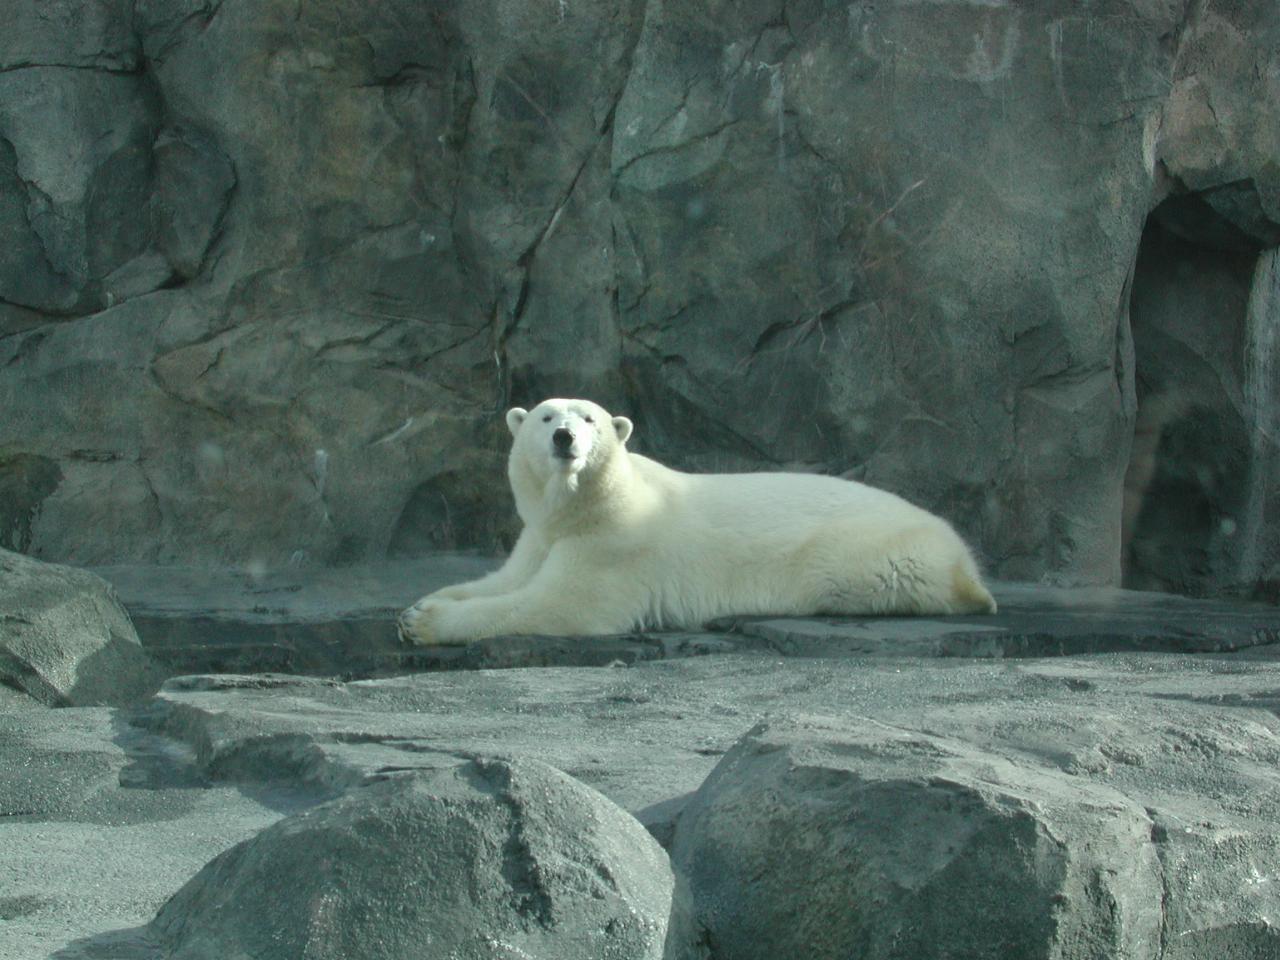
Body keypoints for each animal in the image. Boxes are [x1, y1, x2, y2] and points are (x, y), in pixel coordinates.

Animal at [394, 399, 993, 647]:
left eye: (589, 418)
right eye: (544, 416)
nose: (565, 437)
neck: (587, 505)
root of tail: (963, 554)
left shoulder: (613, 546)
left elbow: (551, 604)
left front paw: (428, 624)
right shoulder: (542, 536)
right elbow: (503, 579)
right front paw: (416, 606)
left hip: (867, 553)